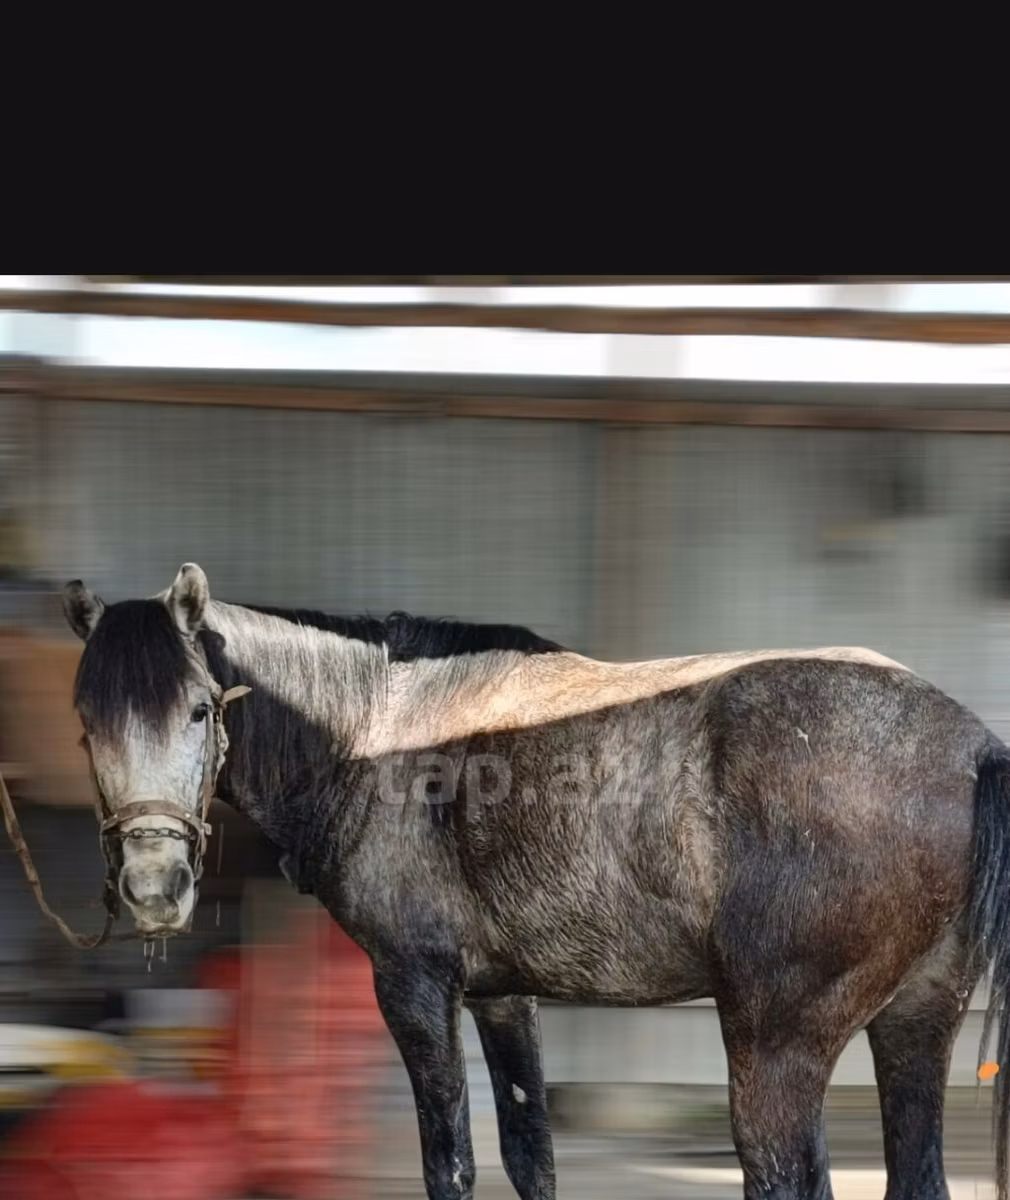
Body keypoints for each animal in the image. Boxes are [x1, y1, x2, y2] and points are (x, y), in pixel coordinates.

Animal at [60, 562, 1010, 1200]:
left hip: (776, 1043)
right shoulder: (500, 995)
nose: (154, 886)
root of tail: (970, 745)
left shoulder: (413, 984)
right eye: (85, 721)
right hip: (917, 1021)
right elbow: (530, 1155)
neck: (375, 729)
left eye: (198, 709)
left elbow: (450, 1162)